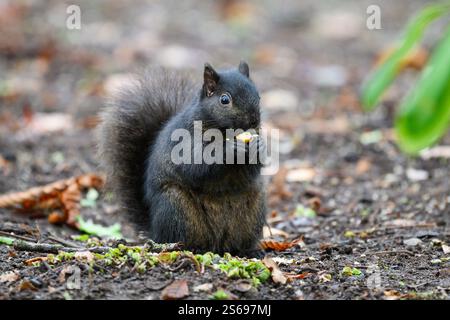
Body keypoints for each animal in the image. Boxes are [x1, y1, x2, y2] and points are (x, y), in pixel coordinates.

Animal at [98, 62, 266, 258]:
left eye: (258, 96)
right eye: (225, 100)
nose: (253, 120)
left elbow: (251, 170)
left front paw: (259, 146)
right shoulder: (185, 141)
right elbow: (195, 163)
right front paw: (231, 149)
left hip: (253, 211)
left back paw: (249, 251)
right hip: (175, 207)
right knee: (180, 238)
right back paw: (192, 248)